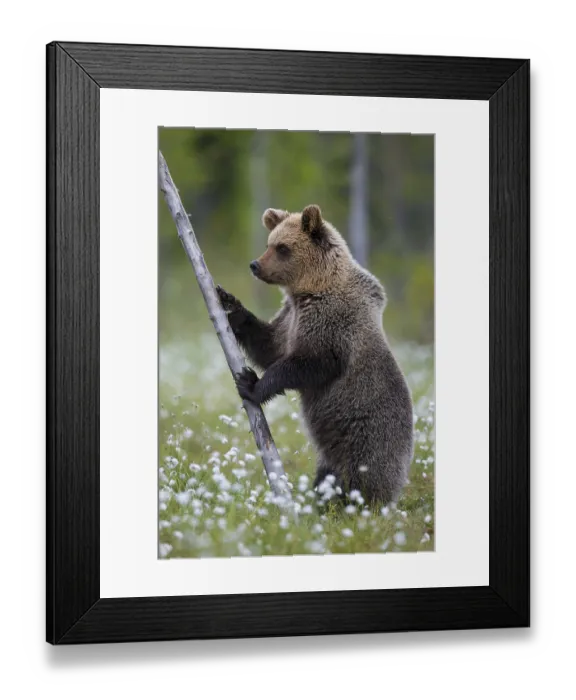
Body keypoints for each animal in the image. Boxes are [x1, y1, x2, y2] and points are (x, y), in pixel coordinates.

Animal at [216, 204, 414, 507]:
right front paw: (229, 303)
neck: (313, 287)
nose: (255, 265)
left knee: (360, 479)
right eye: (269, 243)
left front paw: (251, 384)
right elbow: (269, 345)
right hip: (331, 456)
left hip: (366, 440)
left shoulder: (331, 323)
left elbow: (310, 363)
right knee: (326, 477)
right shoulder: (291, 318)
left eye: (282, 248)